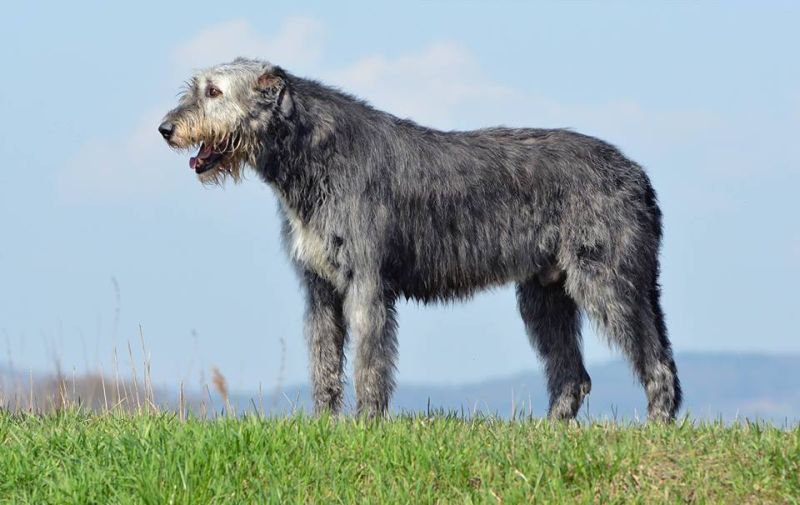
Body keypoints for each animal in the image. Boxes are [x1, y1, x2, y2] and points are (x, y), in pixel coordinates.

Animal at [161, 58, 680, 422]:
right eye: (196, 86)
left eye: (214, 91)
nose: (165, 128)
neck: (314, 154)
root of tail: (639, 175)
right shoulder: (319, 287)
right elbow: (324, 359)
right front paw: (323, 423)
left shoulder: (367, 283)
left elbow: (370, 360)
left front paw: (367, 424)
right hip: (545, 294)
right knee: (573, 375)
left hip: (607, 279)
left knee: (655, 361)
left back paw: (656, 423)